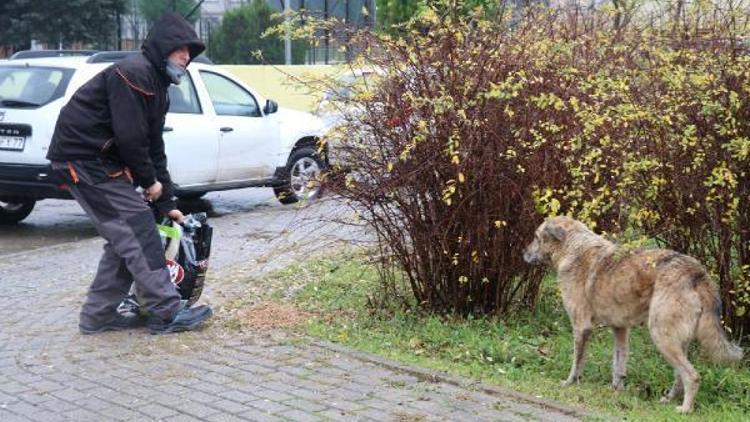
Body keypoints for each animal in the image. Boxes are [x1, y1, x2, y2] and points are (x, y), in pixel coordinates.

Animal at [524, 218, 744, 412]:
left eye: (535, 237)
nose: (522, 253)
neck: (573, 247)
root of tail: (695, 271)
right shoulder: (620, 329)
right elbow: (618, 364)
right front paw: (616, 389)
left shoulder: (581, 327)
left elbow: (577, 362)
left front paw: (570, 382)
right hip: (677, 342)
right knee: (680, 376)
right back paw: (668, 399)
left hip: (661, 337)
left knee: (692, 376)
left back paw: (685, 409)